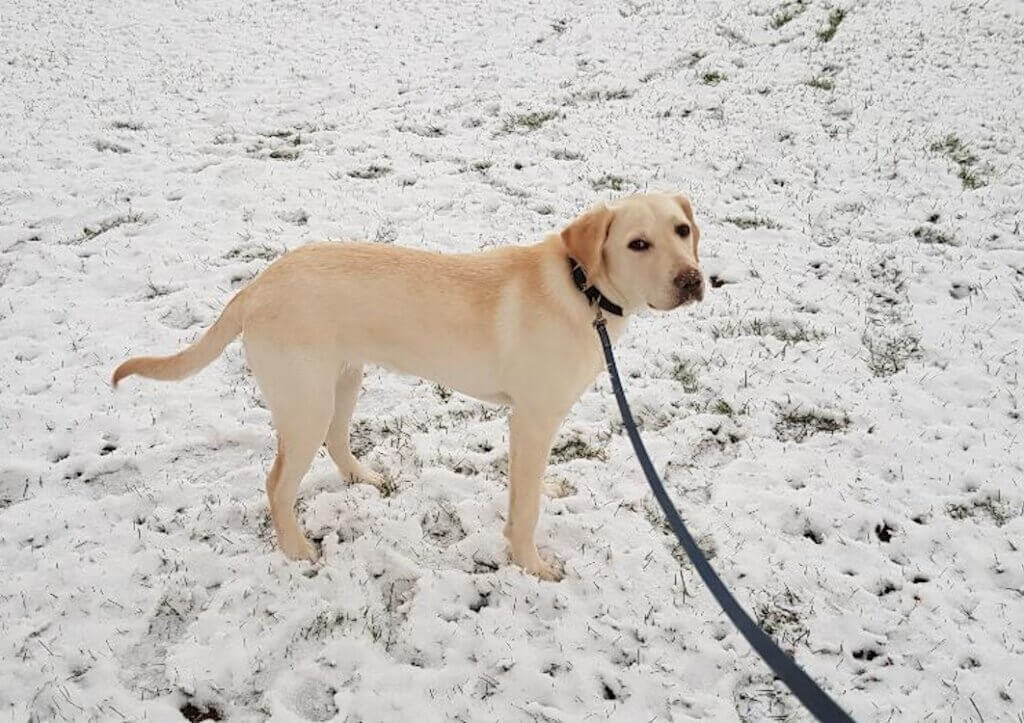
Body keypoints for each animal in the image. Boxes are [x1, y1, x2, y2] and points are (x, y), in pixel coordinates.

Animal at [114, 190, 704, 573]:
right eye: (637, 244)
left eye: (682, 231)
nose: (694, 280)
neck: (583, 287)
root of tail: (256, 286)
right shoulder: (533, 418)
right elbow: (525, 509)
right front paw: (532, 566)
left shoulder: (533, 423)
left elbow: (528, 485)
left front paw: (546, 493)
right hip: (305, 404)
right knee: (277, 484)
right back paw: (298, 552)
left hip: (343, 381)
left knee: (337, 441)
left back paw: (365, 479)